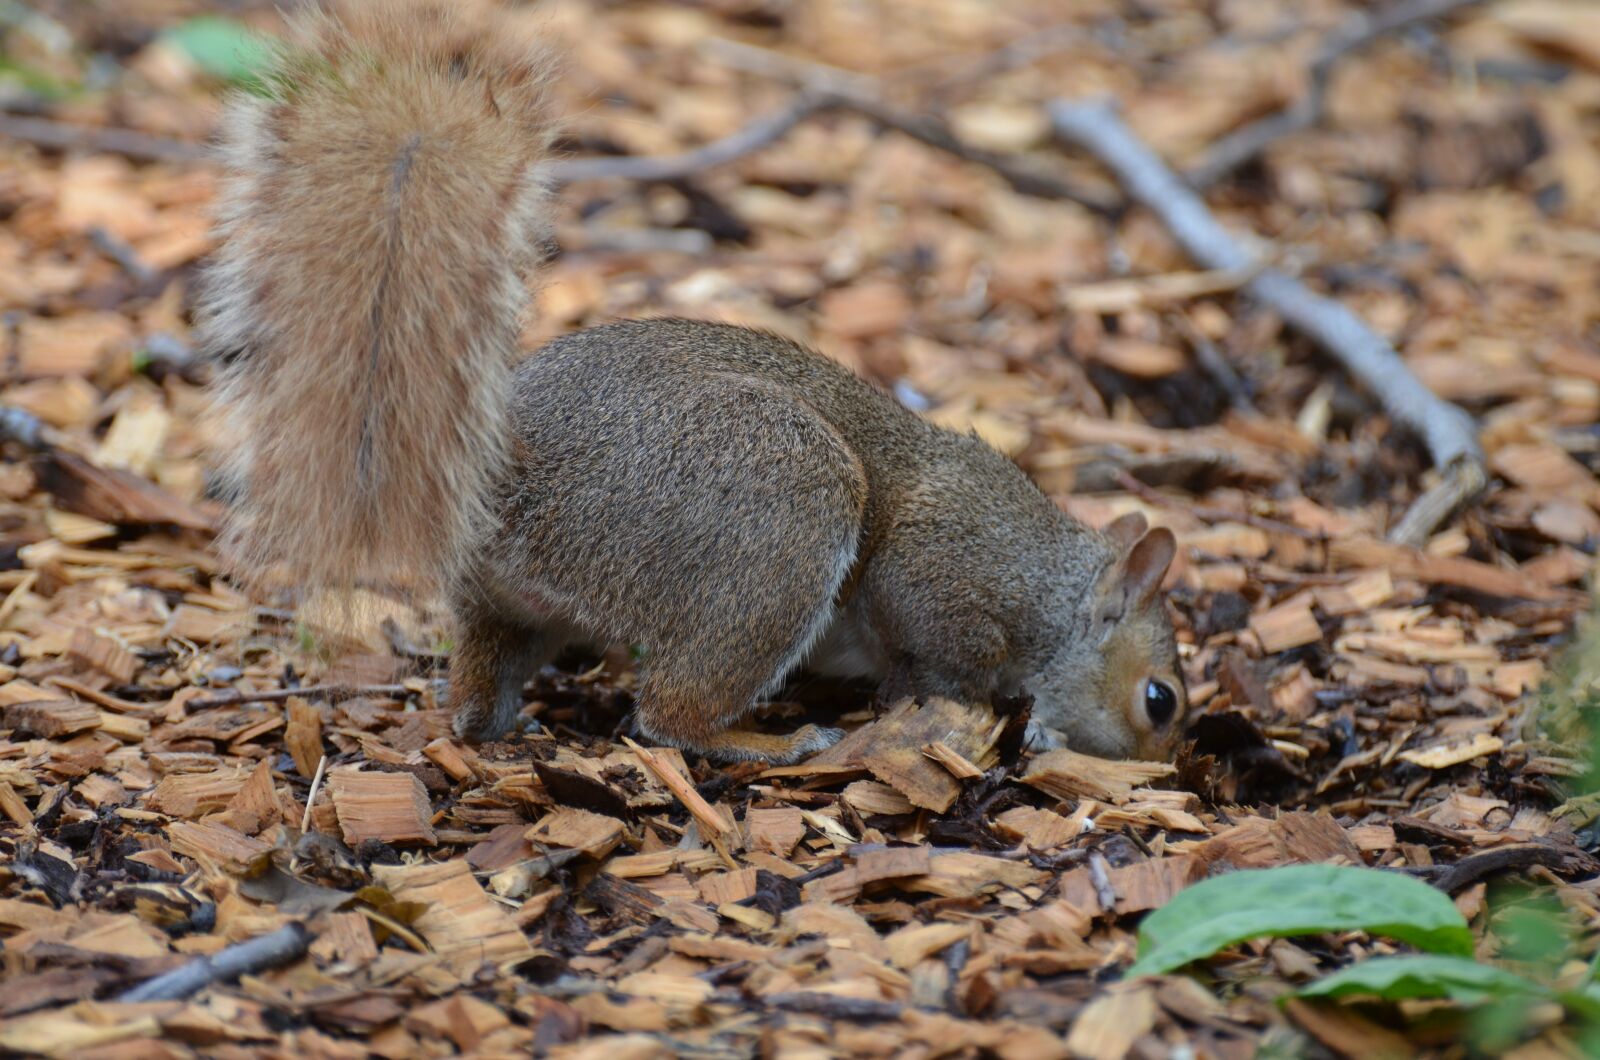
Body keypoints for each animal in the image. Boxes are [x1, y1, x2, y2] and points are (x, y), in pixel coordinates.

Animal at [199, 0, 1189, 765]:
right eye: (1162, 700)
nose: (1158, 772)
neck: (1053, 587)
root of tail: (504, 482)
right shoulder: (950, 571)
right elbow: (934, 650)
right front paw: (985, 715)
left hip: (515, 604)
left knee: (482, 693)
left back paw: (501, 727)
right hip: (779, 524)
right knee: (670, 717)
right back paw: (772, 740)